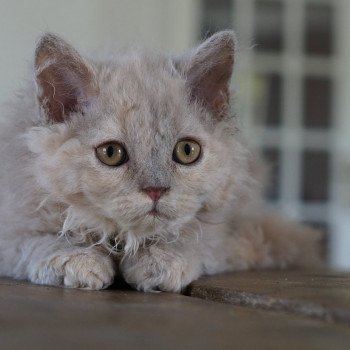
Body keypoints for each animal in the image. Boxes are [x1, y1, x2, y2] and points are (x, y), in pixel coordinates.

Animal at [0, 30, 320, 292]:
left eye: (187, 151)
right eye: (110, 153)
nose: (156, 190)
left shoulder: (243, 231)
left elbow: (195, 239)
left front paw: (161, 262)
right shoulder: (12, 223)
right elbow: (36, 240)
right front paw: (76, 259)